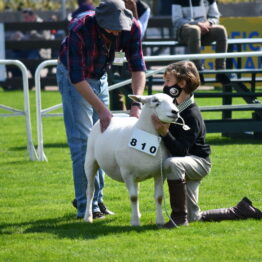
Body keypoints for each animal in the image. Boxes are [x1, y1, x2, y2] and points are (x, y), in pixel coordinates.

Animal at [84, 93, 180, 226]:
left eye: (172, 100)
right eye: (155, 101)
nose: (175, 112)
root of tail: (114, 115)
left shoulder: (160, 173)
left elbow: (159, 197)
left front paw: (160, 221)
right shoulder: (127, 173)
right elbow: (133, 197)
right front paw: (135, 222)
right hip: (90, 160)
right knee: (90, 190)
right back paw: (88, 217)